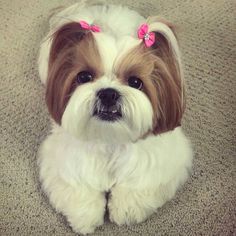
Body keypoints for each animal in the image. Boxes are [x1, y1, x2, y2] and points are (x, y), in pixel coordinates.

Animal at [37, 1, 192, 234]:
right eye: (84, 76)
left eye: (135, 82)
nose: (108, 93)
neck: (110, 139)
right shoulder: (62, 160)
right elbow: (78, 186)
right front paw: (86, 218)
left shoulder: (163, 160)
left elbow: (140, 183)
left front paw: (125, 210)